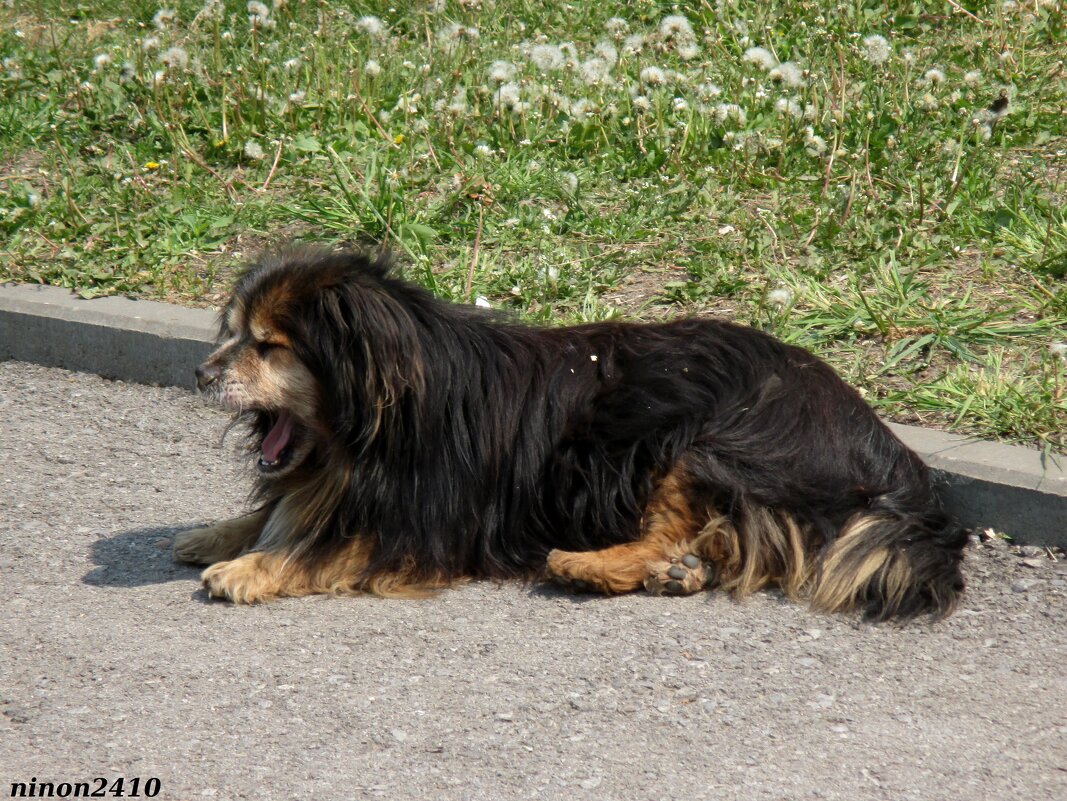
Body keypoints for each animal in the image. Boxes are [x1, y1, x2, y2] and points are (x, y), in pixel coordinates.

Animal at [174, 247, 968, 622]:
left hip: (697, 441)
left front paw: (251, 568)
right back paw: (679, 572)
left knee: (673, 526)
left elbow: (322, 547)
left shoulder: (427, 525)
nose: (200, 372)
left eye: (268, 346)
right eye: (235, 334)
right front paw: (218, 533)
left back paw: (586, 564)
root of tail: (882, 440)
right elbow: (279, 507)